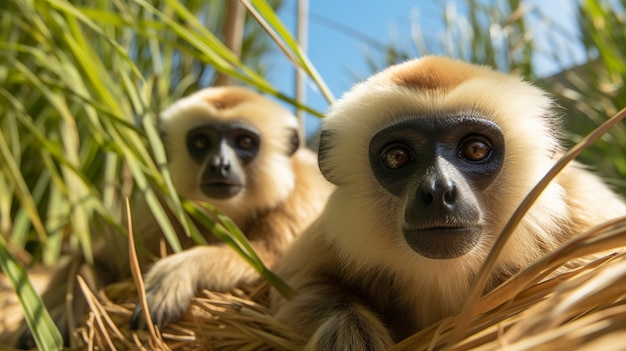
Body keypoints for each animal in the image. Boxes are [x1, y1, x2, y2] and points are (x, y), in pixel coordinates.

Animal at [266, 56, 624, 350]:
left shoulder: (582, 204)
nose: (438, 191)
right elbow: (295, 291)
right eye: (397, 157)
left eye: (476, 150)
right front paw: (347, 333)